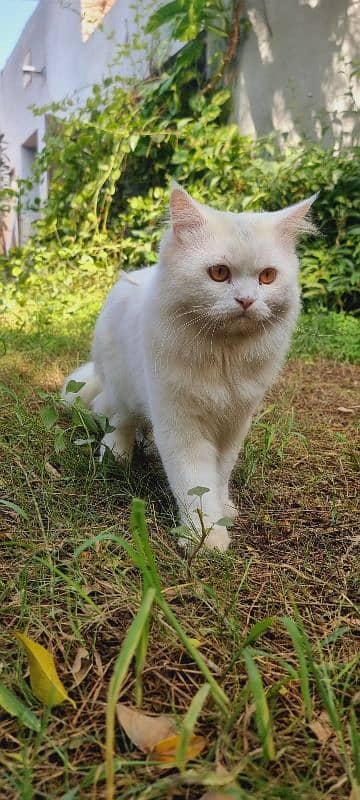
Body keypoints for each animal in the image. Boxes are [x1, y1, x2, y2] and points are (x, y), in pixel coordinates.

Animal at [63, 184, 316, 552]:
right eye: (219, 273)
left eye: (267, 277)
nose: (246, 301)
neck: (225, 357)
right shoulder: (181, 424)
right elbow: (195, 485)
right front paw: (206, 538)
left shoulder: (233, 423)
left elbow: (219, 476)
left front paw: (223, 511)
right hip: (121, 387)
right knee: (120, 420)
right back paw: (117, 455)